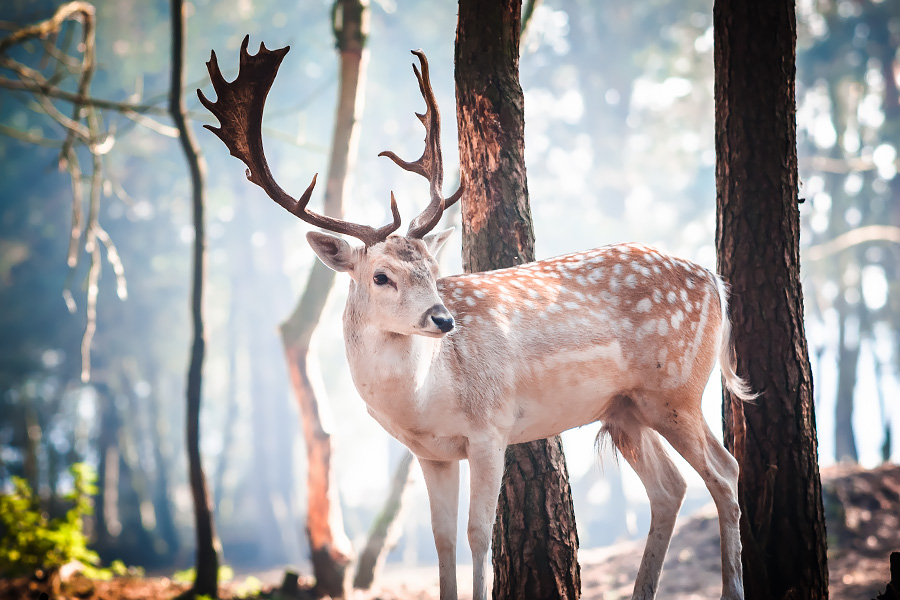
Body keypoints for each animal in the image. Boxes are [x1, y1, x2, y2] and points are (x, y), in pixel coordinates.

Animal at [199, 38, 752, 600]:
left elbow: (477, 532)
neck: (425, 398)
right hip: (626, 408)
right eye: (381, 276)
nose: (443, 319)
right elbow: (441, 538)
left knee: (724, 472)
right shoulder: (433, 453)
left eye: (433, 267)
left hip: (675, 388)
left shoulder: (491, 426)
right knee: (671, 488)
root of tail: (715, 280)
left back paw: (731, 584)